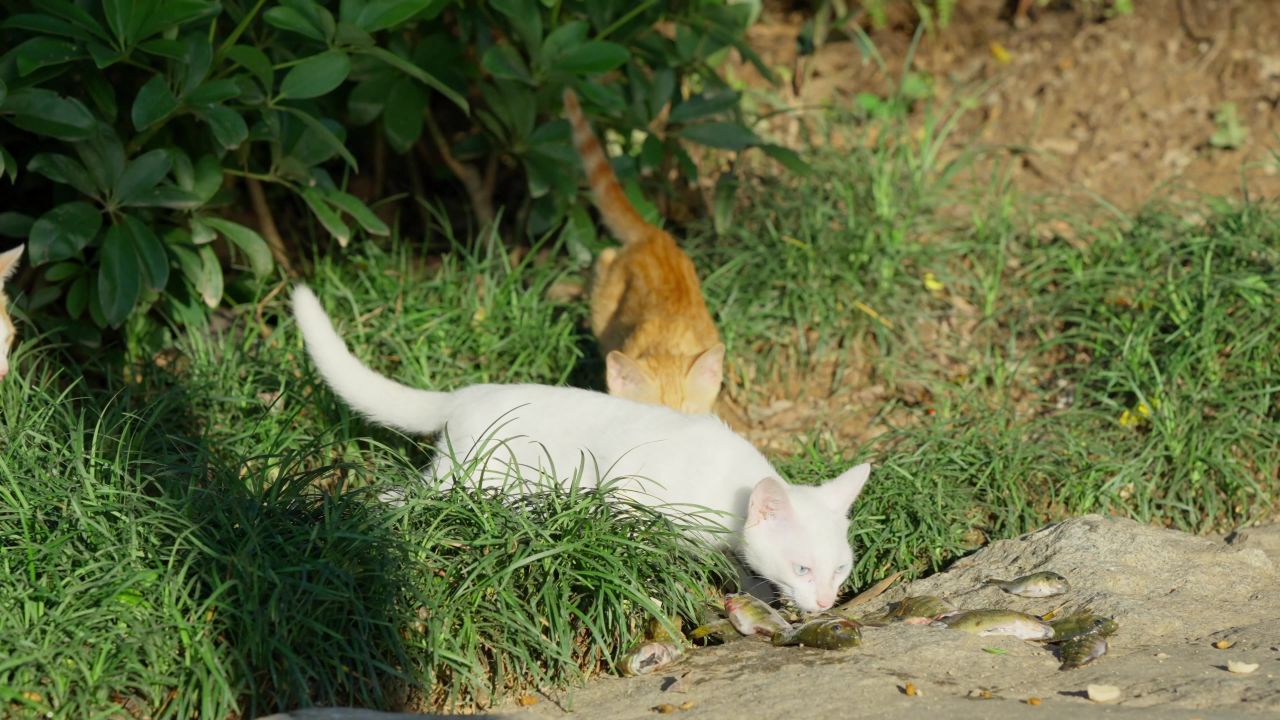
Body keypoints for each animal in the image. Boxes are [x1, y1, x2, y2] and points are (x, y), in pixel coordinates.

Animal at [293, 283, 870, 607]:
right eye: (803, 568)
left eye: (840, 569)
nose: (826, 601)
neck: (727, 494)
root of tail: (470, 393)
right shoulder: (631, 492)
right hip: (463, 481)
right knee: (397, 496)